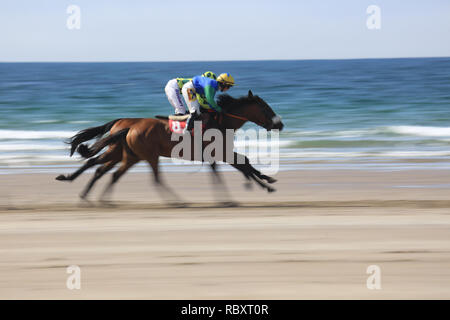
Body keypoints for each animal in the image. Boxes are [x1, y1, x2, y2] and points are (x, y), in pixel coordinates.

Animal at [54, 90, 284, 202]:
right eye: (266, 108)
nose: (280, 124)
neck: (221, 120)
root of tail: (126, 125)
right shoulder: (218, 152)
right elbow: (240, 166)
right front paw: (262, 183)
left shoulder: (221, 153)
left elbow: (244, 163)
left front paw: (266, 181)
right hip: (143, 155)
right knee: (150, 177)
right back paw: (177, 200)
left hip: (126, 154)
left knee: (102, 168)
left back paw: (88, 192)